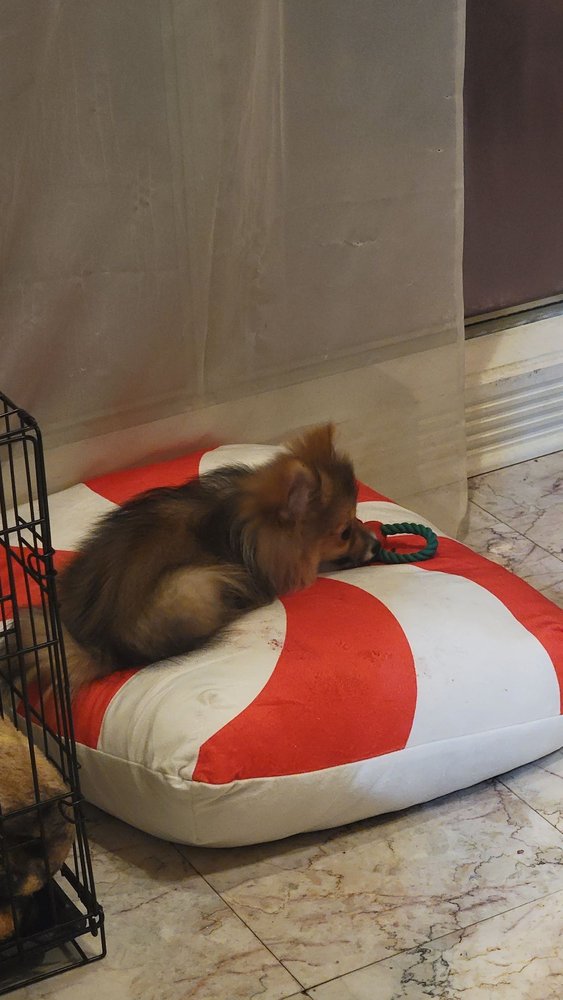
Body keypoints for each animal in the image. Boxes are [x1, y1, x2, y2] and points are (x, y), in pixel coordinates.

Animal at [20, 425, 376, 695]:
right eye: (345, 532)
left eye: (357, 519)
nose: (375, 542)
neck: (245, 520)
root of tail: (99, 644)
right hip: (192, 584)